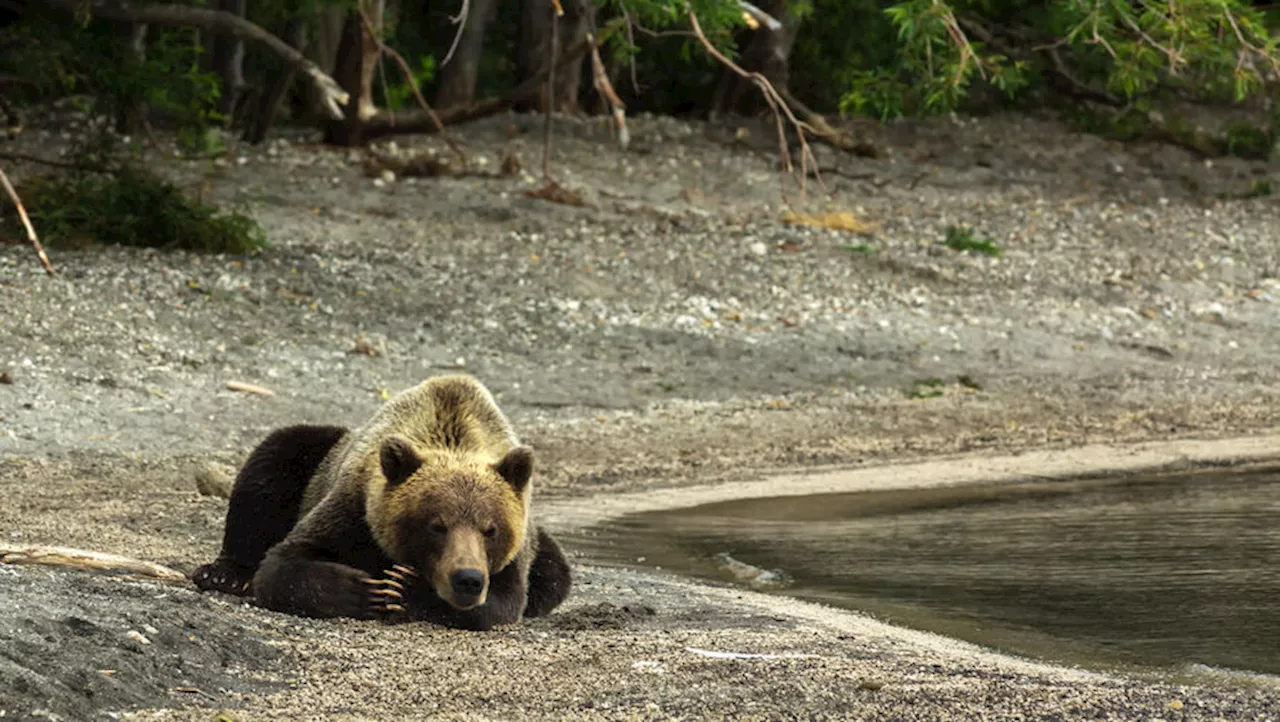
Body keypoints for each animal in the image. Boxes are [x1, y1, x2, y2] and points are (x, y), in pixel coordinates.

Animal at [189, 376, 570, 629]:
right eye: (437, 525)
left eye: (490, 529)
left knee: (555, 572)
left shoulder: (516, 554)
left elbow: (503, 602)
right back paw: (226, 574)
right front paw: (362, 589)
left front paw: (406, 588)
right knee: (275, 457)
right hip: (316, 458)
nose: (468, 579)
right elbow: (283, 564)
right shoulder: (354, 508)